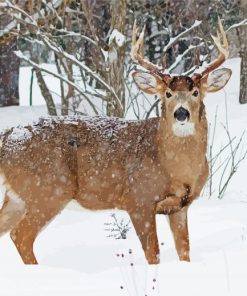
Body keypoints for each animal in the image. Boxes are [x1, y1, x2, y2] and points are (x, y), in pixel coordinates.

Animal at [0, 17, 232, 264]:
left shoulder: (180, 206)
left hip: (18, 196)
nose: (181, 113)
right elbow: (153, 254)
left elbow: (185, 253)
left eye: (195, 92)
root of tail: (7, 137)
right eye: (167, 94)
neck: (176, 171)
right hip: (47, 189)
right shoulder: (138, 199)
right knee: (21, 235)